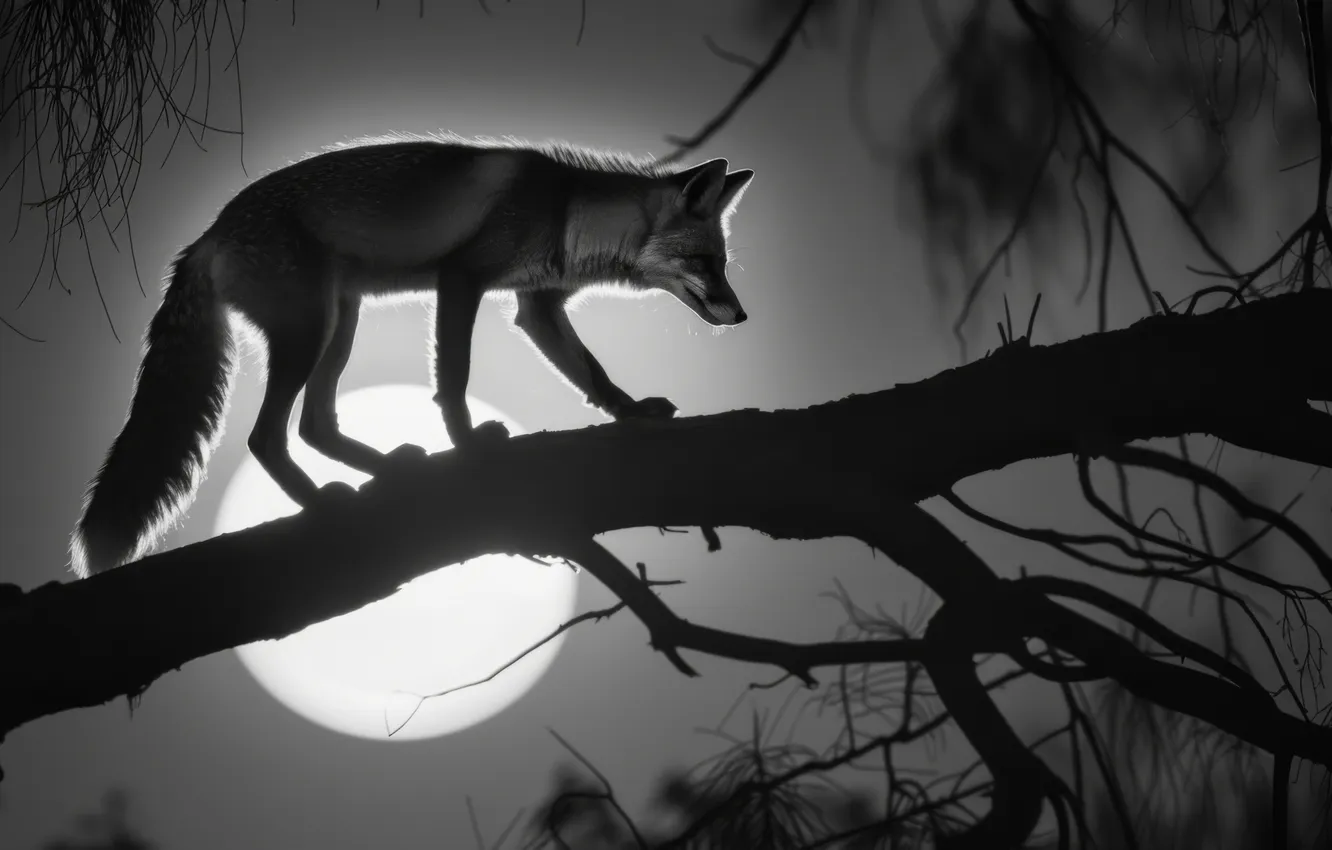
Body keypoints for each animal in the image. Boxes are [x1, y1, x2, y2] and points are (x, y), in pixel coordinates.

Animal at [69, 133, 755, 577]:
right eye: (706, 262)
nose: (742, 316)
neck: (565, 214)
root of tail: (207, 236)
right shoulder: (463, 279)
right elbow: (454, 378)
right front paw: (467, 443)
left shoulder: (537, 307)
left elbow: (594, 375)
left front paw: (632, 411)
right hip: (309, 332)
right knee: (266, 437)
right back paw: (320, 501)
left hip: (340, 326)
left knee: (315, 424)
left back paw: (388, 470)